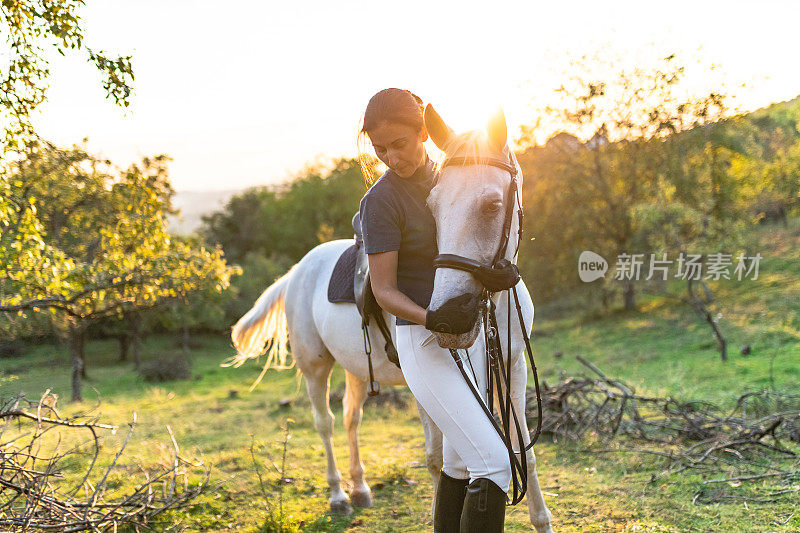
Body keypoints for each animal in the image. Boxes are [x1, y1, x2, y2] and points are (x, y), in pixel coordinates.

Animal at [228, 106, 552, 528]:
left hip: (355, 370)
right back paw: (338, 496)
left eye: (493, 206)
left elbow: (522, 450)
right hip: (315, 368)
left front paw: (542, 521)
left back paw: (360, 489)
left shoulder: (511, 367)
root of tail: (298, 269)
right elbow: (436, 460)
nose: (449, 318)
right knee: (325, 423)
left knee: (350, 418)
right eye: (432, 207)